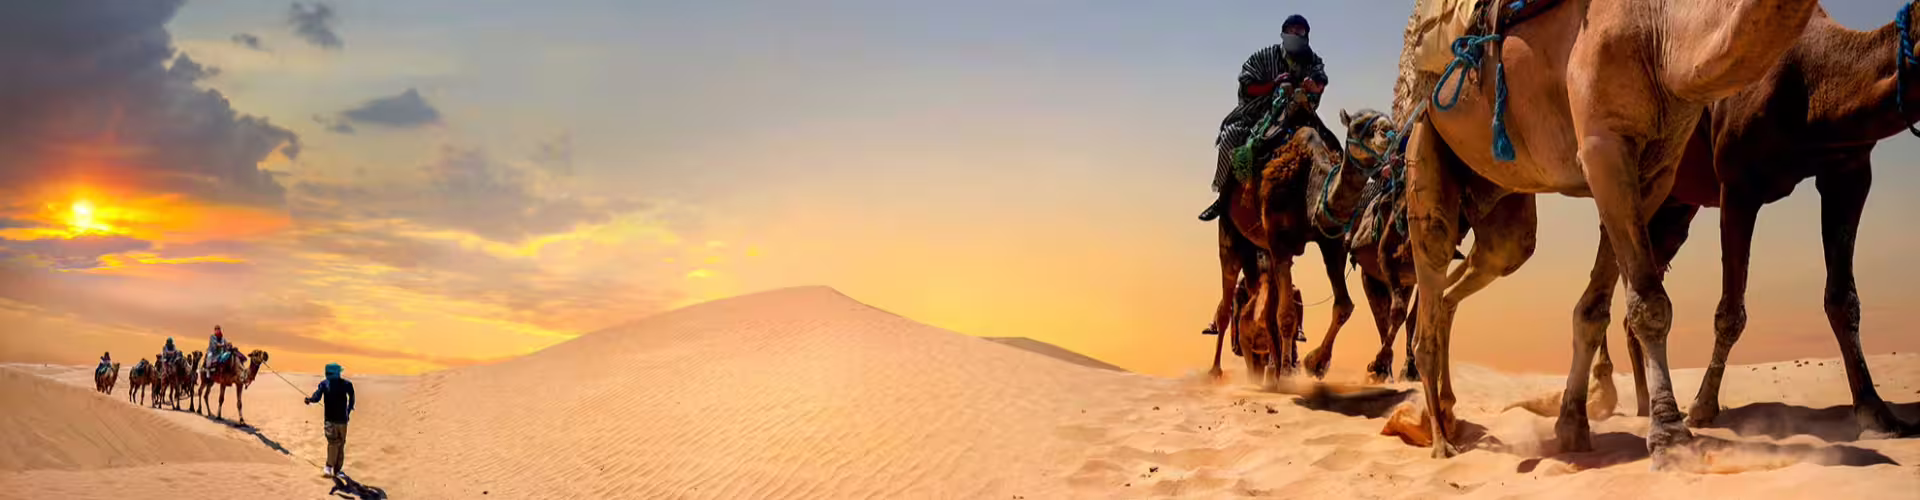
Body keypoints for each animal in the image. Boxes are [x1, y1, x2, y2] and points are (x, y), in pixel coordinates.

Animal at [1204, 89, 1371, 389]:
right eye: (1358, 126)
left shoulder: (1331, 242)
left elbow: (1343, 305)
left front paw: (1315, 364)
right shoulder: (1280, 243)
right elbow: (1287, 315)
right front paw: (1286, 377)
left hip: (1260, 246)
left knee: (1263, 304)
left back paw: (1272, 371)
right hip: (1229, 228)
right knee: (1227, 296)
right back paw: (1216, 372)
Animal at [1391, 0, 1820, 466]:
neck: (1662, 31)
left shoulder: (1657, 172)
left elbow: (1594, 311)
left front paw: (1572, 425)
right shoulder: (1603, 147)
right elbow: (1650, 303)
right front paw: (1670, 436)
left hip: (1496, 184)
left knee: (1479, 270)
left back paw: (1449, 410)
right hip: (1427, 135)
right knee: (1432, 262)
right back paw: (1440, 440)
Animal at [1583, 4, 1920, 439]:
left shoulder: (1849, 171)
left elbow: (1843, 300)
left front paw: (1875, 411)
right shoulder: (1738, 183)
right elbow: (1730, 311)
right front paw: (1703, 408)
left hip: (1675, 206)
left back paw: (1642, 406)